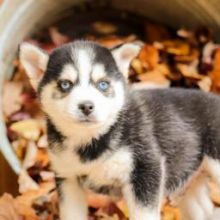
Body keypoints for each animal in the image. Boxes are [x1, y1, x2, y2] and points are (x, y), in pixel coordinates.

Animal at [19, 40, 220, 220]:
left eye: (103, 84)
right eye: (65, 84)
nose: (86, 106)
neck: (91, 142)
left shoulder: (146, 168)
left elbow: (143, 215)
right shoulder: (68, 178)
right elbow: (71, 214)